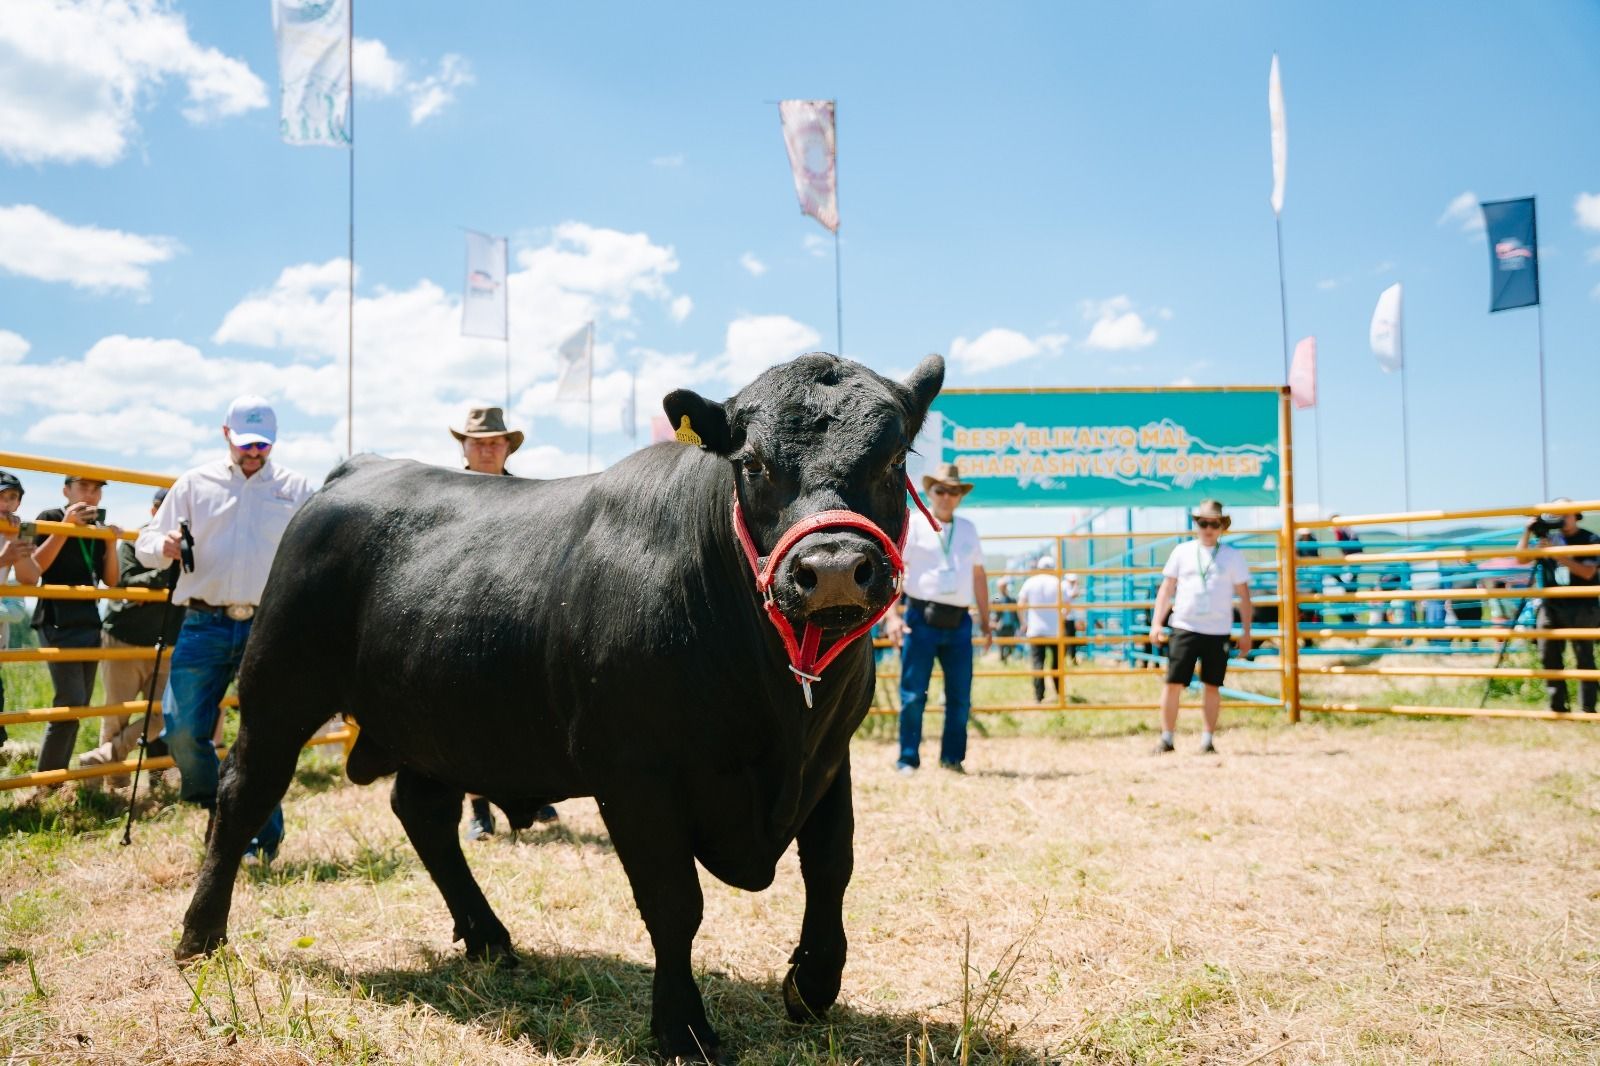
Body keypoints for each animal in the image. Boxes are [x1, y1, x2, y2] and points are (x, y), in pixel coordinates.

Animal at [180, 350, 940, 1056]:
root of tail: (359, 468)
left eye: (893, 457)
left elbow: (831, 868)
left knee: (422, 813)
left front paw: (811, 984)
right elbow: (674, 903)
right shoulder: (635, 774)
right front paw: (683, 1029)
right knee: (243, 793)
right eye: (752, 465)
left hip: (438, 717)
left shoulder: (828, 755)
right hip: (279, 685)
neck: (780, 705)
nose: (833, 568)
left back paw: (489, 937)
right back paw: (199, 935)